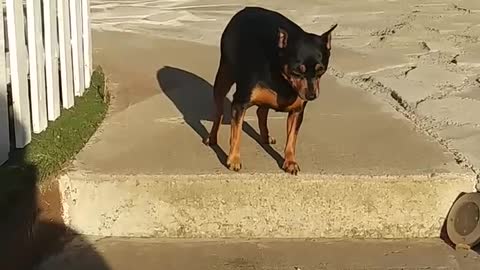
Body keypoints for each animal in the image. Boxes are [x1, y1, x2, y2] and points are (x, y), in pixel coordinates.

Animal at [205, 6, 338, 175]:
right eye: (297, 71)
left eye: (321, 70)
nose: (311, 95)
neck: (282, 78)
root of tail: (246, 9)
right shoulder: (239, 104)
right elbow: (236, 134)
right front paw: (233, 159)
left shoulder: (297, 111)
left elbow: (291, 139)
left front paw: (290, 162)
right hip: (224, 76)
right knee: (219, 112)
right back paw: (212, 138)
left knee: (261, 111)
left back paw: (265, 137)